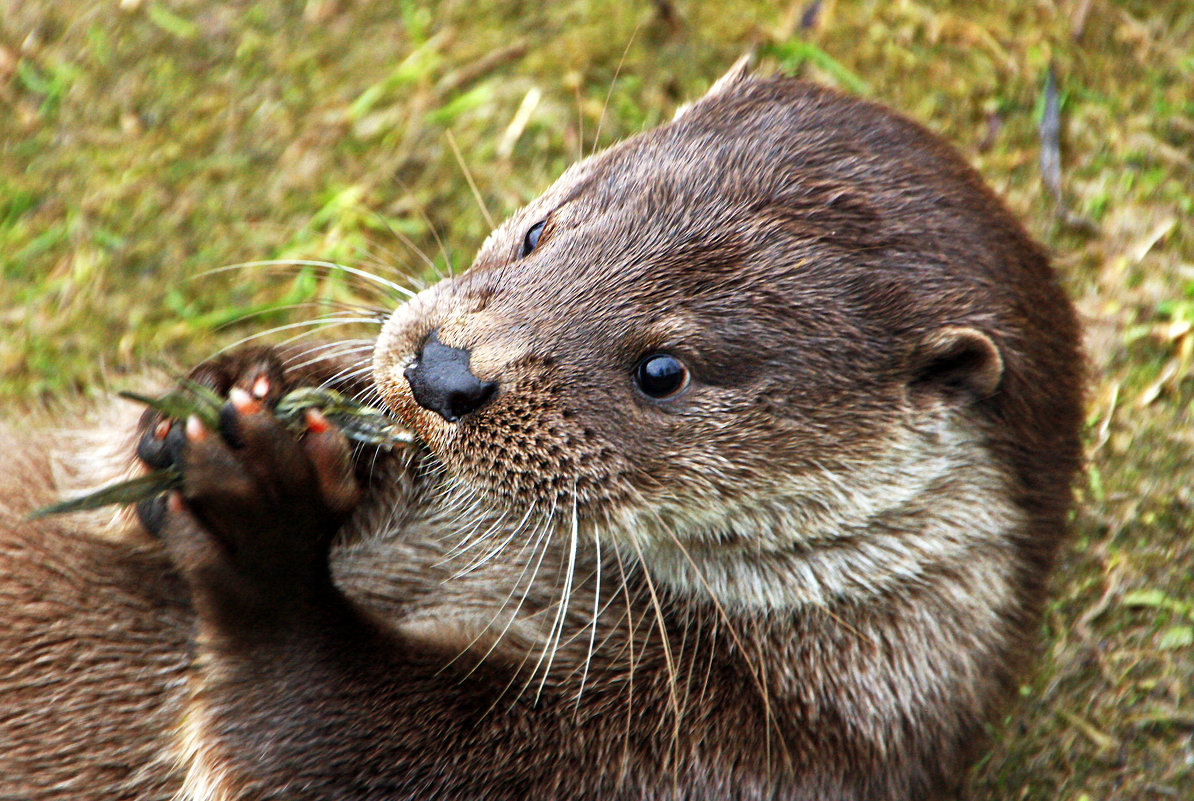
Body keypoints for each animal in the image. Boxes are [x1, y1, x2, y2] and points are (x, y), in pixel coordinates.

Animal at [0, 64, 1084, 801]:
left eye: (663, 372)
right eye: (538, 234)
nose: (442, 371)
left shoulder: (712, 760)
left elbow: (310, 738)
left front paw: (265, 528)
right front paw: (234, 391)